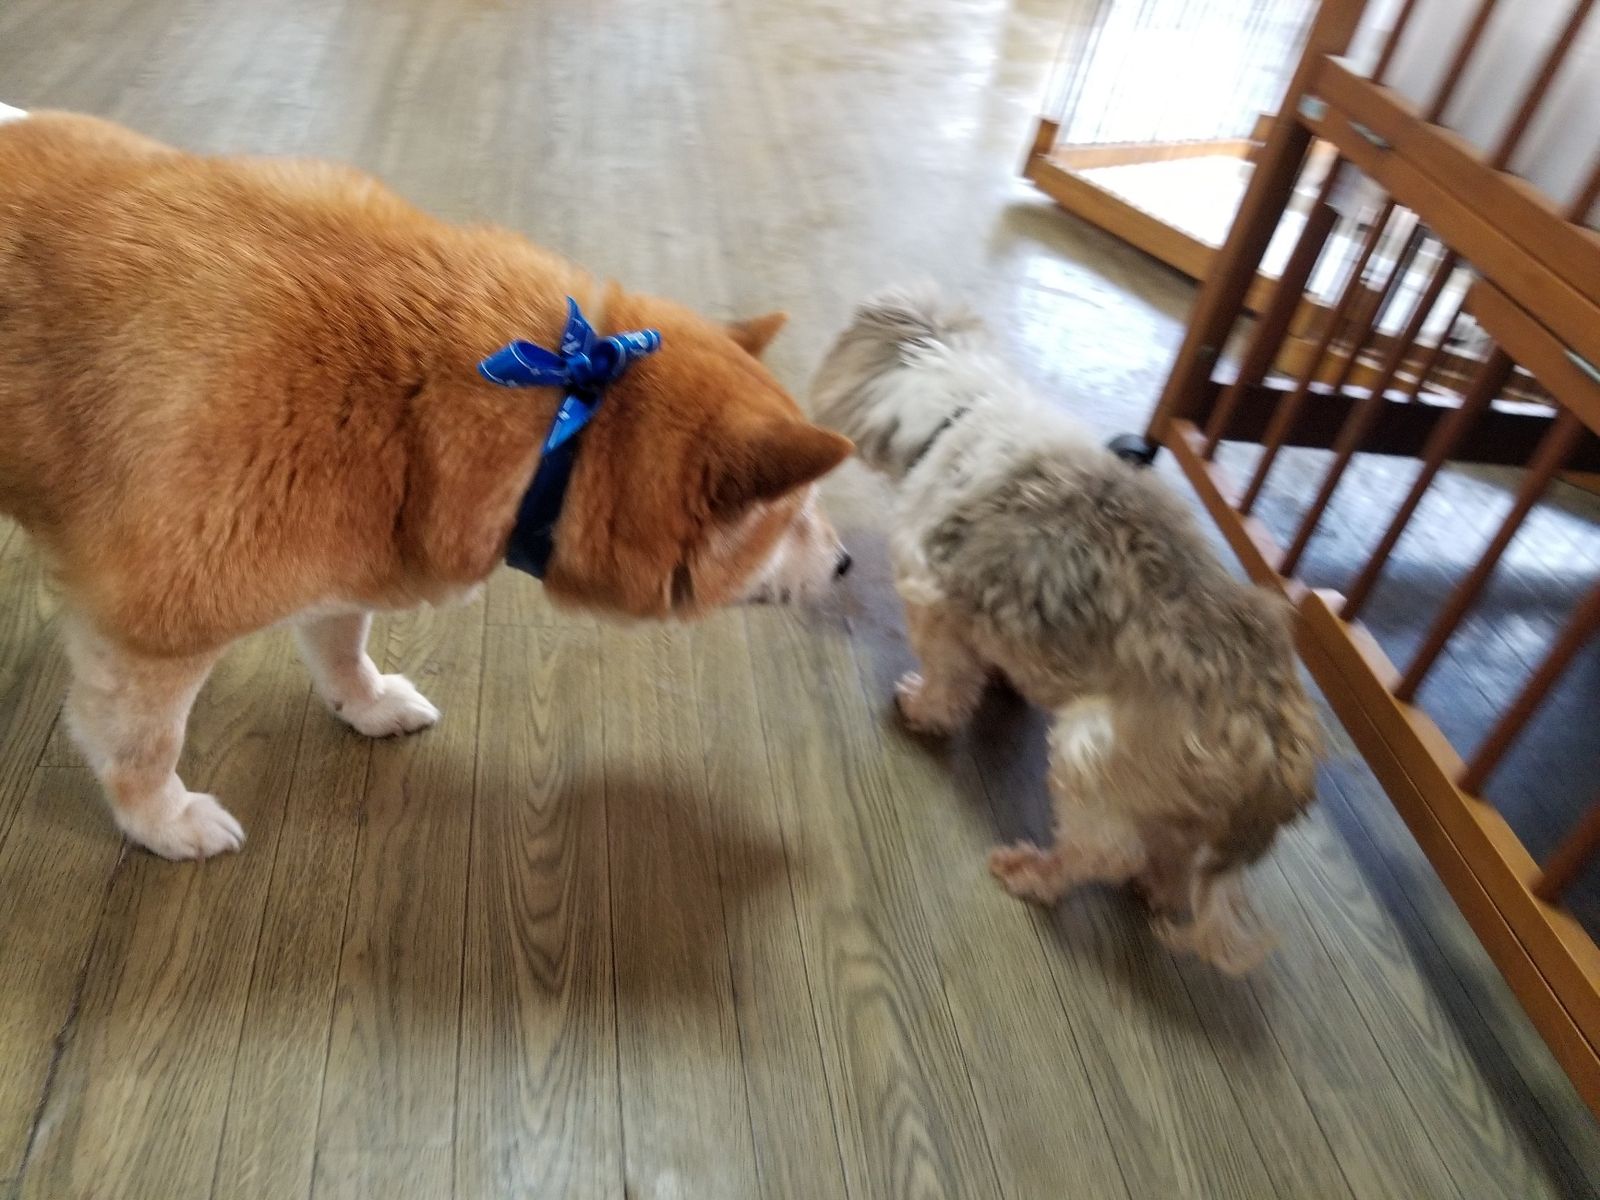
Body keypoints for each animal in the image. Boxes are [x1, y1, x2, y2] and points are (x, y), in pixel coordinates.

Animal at [0, 109, 853, 860]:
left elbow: (342, 646)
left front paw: (365, 704)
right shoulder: (150, 632)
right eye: (794, 519)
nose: (847, 565)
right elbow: (144, 745)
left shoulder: (342, 560)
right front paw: (160, 822)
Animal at [811, 286, 1320, 973]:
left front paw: (923, 707)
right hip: (1173, 800)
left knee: (1106, 852)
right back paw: (1157, 887)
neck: (963, 413)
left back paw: (1034, 872)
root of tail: (1279, 750)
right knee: (1170, 859)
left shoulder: (933, 599)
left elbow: (947, 676)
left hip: (1090, 753)